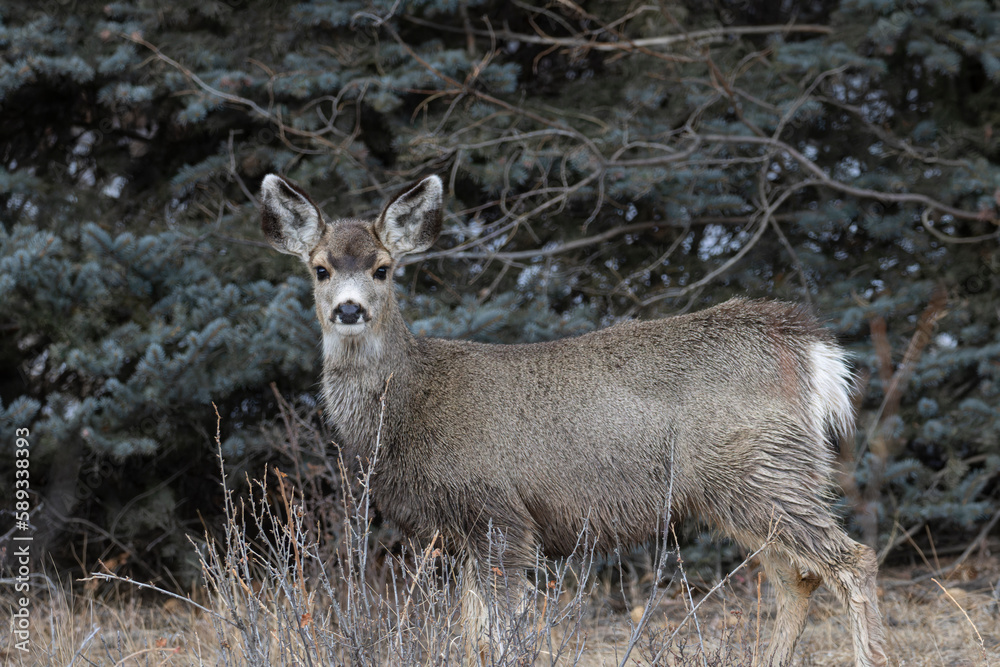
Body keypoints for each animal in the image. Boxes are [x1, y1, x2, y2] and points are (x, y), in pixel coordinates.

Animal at [259, 173, 888, 667]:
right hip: (738, 486)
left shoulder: (502, 514)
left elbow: (500, 637)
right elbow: (470, 636)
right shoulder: (464, 533)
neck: (410, 404)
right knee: (797, 576)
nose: (349, 310)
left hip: (766, 466)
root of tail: (807, 348)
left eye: (384, 268)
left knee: (852, 560)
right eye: (320, 269)